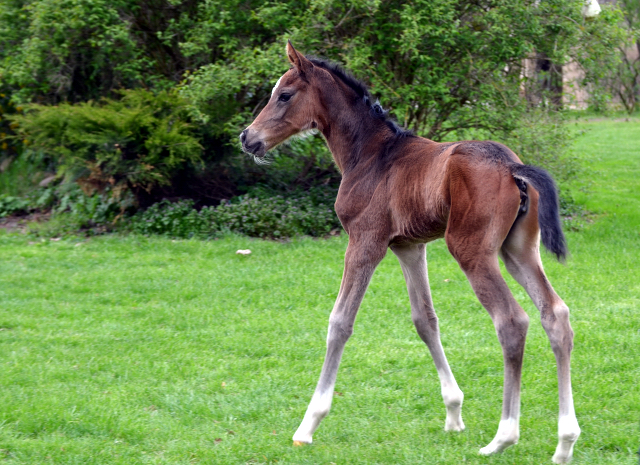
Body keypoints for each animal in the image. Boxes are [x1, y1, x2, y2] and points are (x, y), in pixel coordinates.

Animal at [240, 41, 580, 462]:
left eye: (284, 94)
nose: (247, 138)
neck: (371, 154)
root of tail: (512, 166)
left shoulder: (365, 241)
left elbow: (340, 322)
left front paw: (308, 424)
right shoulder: (409, 247)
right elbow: (425, 320)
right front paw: (453, 414)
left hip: (472, 252)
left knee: (512, 322)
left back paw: (504, 436)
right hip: (518, 251)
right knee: (555, 315)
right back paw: (565, 442)